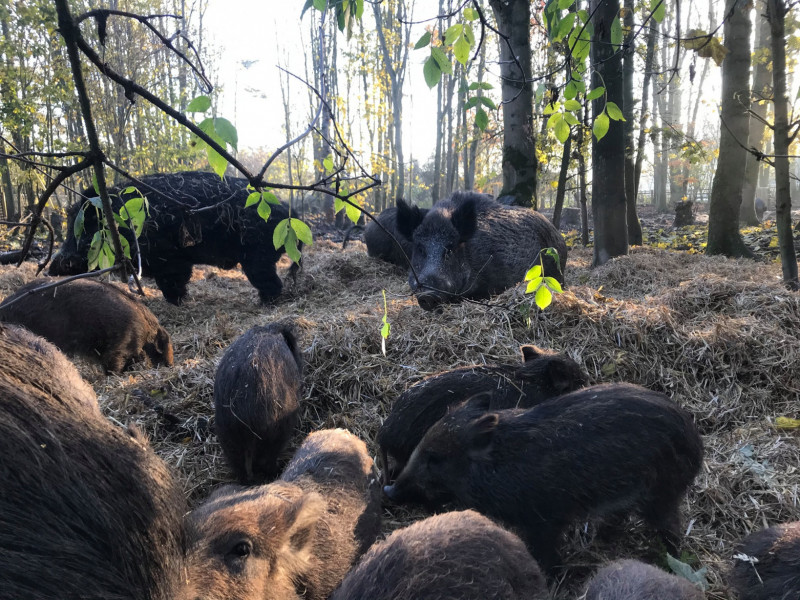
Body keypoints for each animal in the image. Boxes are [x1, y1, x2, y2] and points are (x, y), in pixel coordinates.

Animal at [50, 170, 303, 305]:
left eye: (84, 227)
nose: (52, 268)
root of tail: (288, 211)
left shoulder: (170, 260)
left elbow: (173, 284)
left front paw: (178, 302)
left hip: (257, 256)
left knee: (272, 283)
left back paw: (262, 303)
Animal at [384, 383, 704, 570]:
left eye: (435, 459)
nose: (389, 490)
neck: (499, 468)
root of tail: (695, 441)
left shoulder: (545, 520)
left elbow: (546, 554)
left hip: (662, 492)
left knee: (671, 528)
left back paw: (670, 560)